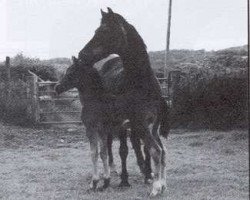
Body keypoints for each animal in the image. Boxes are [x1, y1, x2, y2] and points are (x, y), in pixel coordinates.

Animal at [55, 55, 151, 191]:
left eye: (71, 71)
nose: (57, 87)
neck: (96, 100)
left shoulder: (92, 129)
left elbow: (95, 153)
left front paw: (95, 182)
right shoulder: (103, 130)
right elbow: (104, 152)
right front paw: (106, 181)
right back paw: (147, 176)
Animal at [76, 8, 170, 197]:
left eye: (103, 31)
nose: (82, 54)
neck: (142, 84)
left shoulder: (144, 124)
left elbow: (153, 150)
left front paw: (155, 183)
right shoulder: (127, 124)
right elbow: (124, 150)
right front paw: (125, 180)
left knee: (154, 149)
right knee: (111, 145)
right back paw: (115, 171)